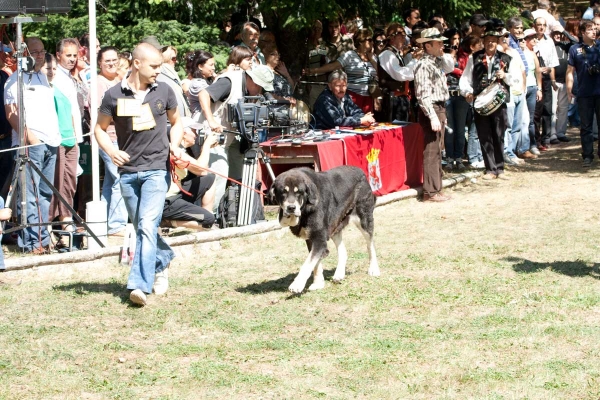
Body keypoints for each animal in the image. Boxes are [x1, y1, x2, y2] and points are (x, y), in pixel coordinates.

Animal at [270, 166, 380, 294]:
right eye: (283, 192)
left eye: (299, 193)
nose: (291, 208)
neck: (305, 208)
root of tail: (361, 171)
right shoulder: (312, 239)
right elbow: (315, 264)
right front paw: (318, 283)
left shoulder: (319, 239)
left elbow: (308, 263)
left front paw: (297, 284)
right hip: (335, 226)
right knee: (343, 251)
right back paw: (339, 274)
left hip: (364, 219)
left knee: (370, 245)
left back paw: (374, 269)